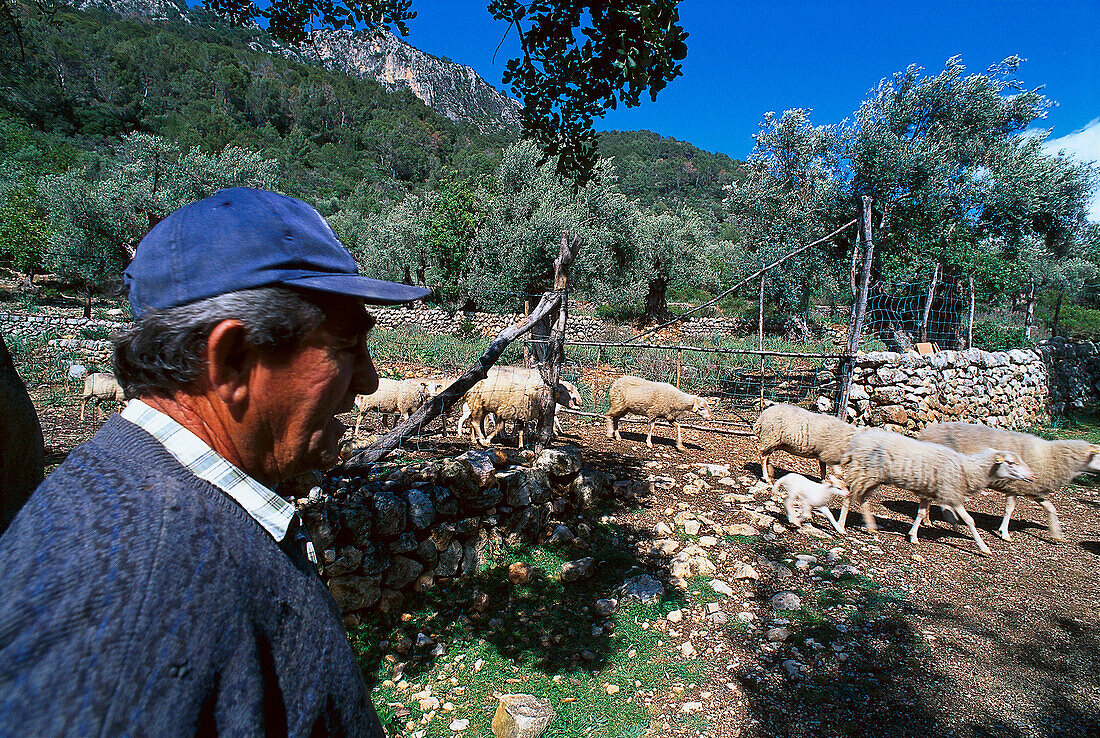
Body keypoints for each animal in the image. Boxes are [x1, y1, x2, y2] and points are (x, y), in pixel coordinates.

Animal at [836, 431, 1034, 556]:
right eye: (1011, 463)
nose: (1032, 476)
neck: (966, 469)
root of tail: (857, 441)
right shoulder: (952, 494)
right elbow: (970, 520)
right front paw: (984, 548)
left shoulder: (927, 492)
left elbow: (921, 513)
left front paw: (913, 536)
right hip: (864, 470)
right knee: (850, 494)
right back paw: (841, 525)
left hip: (872, 476)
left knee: (862, 497)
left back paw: (870, 526)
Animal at [910, 422, 1100, 543]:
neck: (1050, 457)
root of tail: (926, 431)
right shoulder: (1014, 487)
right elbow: (1009, 509)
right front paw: (1005, 533)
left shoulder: (1033, 489)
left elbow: (1051, 508)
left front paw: (1057, 534)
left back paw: (928, 520)